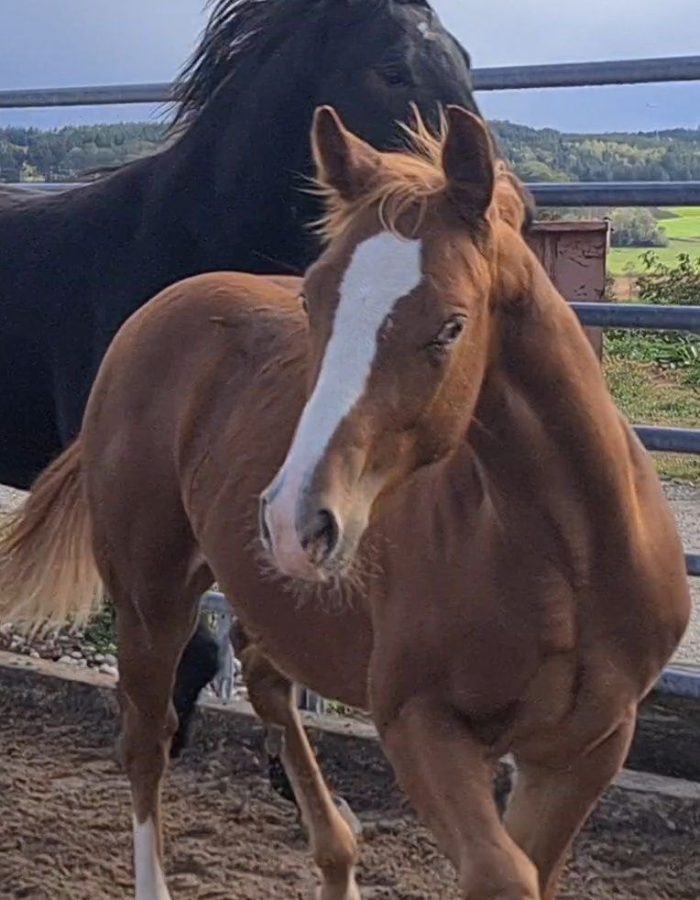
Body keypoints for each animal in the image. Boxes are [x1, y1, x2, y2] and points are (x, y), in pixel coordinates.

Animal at [1, 105, 688, 899]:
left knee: (262, 671)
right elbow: (501, 872)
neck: (568, 559)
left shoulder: (587, 747)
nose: (293, 519)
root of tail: (154, 314)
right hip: (151, 594)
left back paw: (338, 852)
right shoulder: (418, 722)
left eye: (451, 325)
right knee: (147, 738)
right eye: (311, 298)